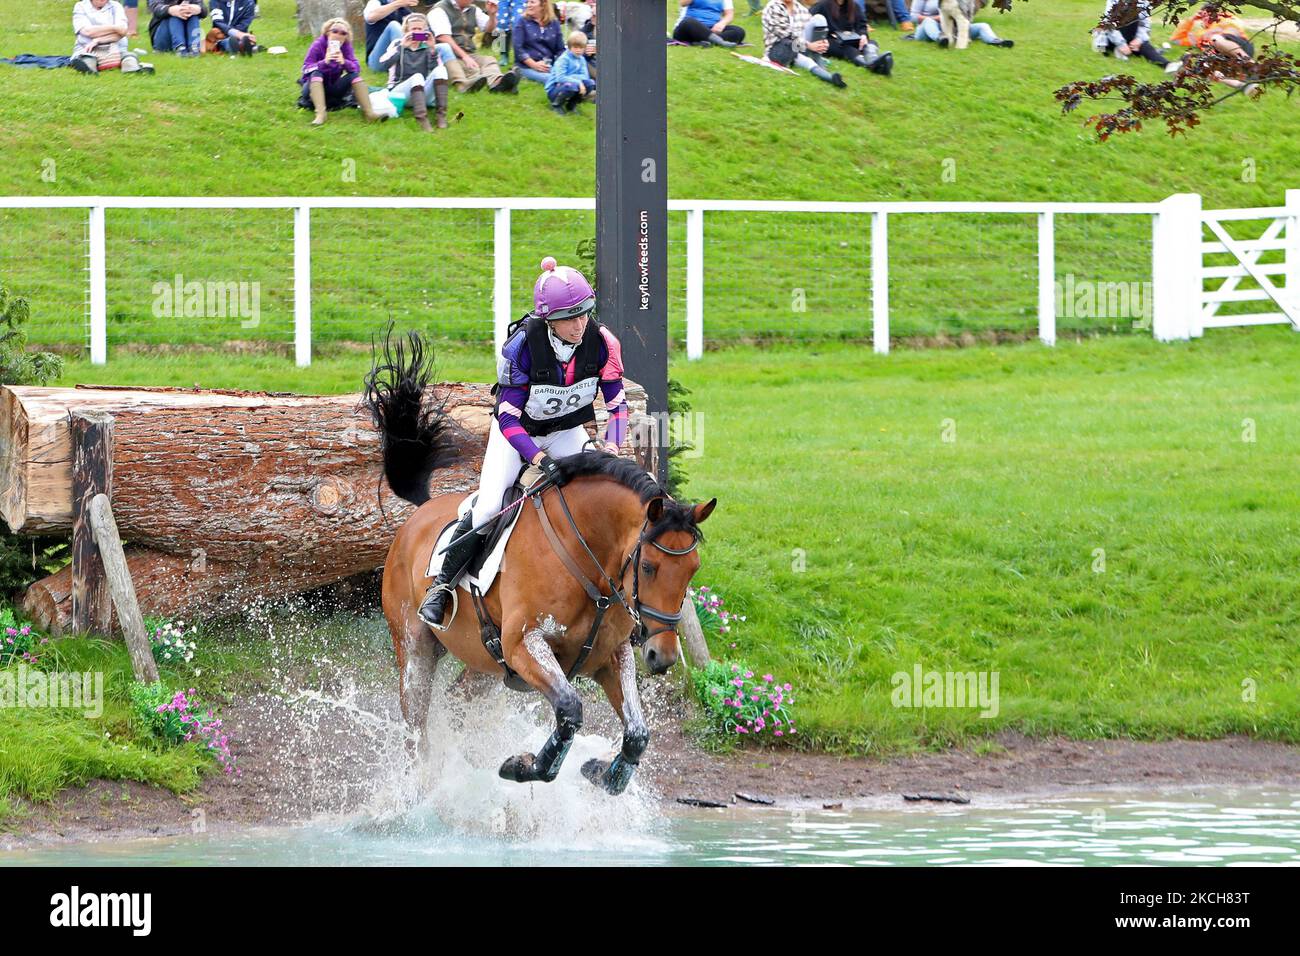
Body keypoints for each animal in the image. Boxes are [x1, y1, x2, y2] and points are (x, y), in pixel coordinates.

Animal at [361, 332, 717, 796]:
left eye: (692, 570)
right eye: (649, 567)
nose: (663, 657)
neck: (588, 560)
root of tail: (419, 514)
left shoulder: (611, 654)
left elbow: (638, 732)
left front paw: (605, 774)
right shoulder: (524, 645)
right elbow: (569, 709)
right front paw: (524, 766)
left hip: (482, 666)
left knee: (457, 704)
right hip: (415, 647)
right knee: (416, 728)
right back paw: (422, 788)